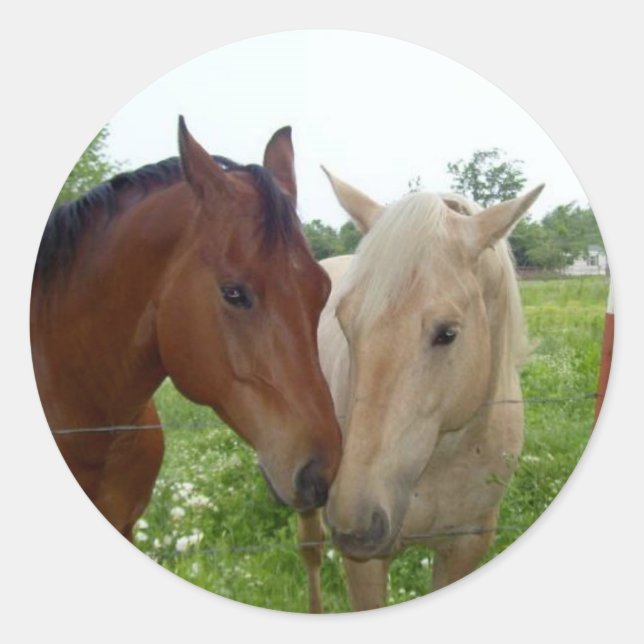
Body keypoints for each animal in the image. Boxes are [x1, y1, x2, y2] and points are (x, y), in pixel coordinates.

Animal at [297, 169, 543, 611]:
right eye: (345, 321)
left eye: (447, 333)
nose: (355, 521)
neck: (443, 459)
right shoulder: (365, 566)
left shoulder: (465, 547)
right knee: (310, 548)